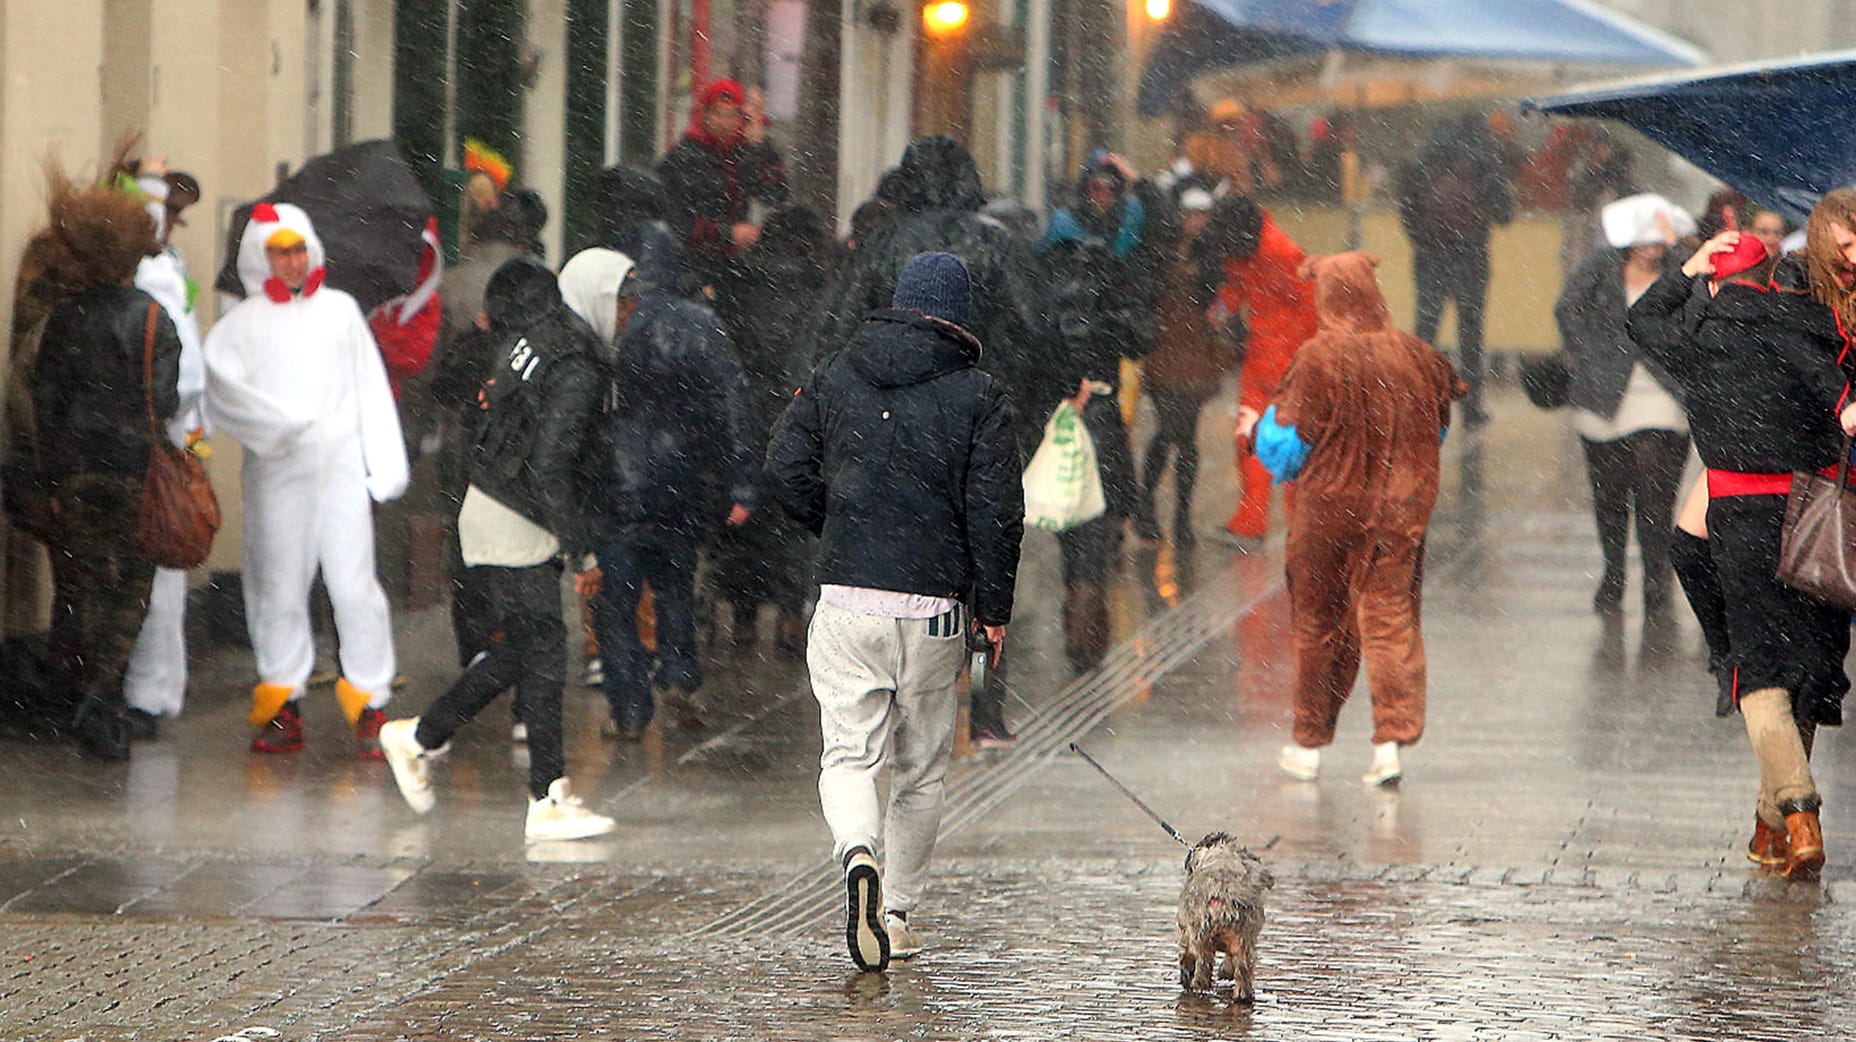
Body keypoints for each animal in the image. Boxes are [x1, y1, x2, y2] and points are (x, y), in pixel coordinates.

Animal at [1172, 828, 1276, 1002]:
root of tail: (1225, 892)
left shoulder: (1185, 931)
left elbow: (1185, 956)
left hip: (1200, 936)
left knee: (1203, 967)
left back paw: (1198, 986)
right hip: (1244, 938)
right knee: (1243, 968)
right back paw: (1243, 994)